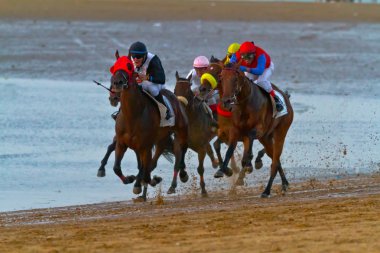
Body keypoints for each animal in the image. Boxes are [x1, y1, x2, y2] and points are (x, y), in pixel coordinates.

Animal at [110, 52, 189, 200]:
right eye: (114, 66)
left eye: (129, 66)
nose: (117, 83)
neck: (133, 115)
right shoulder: (122, 143)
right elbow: (117, 168)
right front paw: (130, 179)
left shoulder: (144, 146)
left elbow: (145, 171)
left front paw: (145, 183)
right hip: (160, 140)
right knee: (154, 161)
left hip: (181, 131)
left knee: (182, 150)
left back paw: (182, 174)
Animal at [217, 62, 294, 198]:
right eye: (221, 78)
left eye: (235, 79)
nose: (226, 101)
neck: (244, 104)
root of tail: (286, 98)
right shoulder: (234, 131)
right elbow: (229, 151)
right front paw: (222, 170)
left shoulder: (257, 130)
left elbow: (250, 141)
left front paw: (248, 164)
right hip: (266, 138)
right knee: (275, 158)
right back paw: (284, 184)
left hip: (281, 132)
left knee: (275, 162)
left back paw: (266, 191)